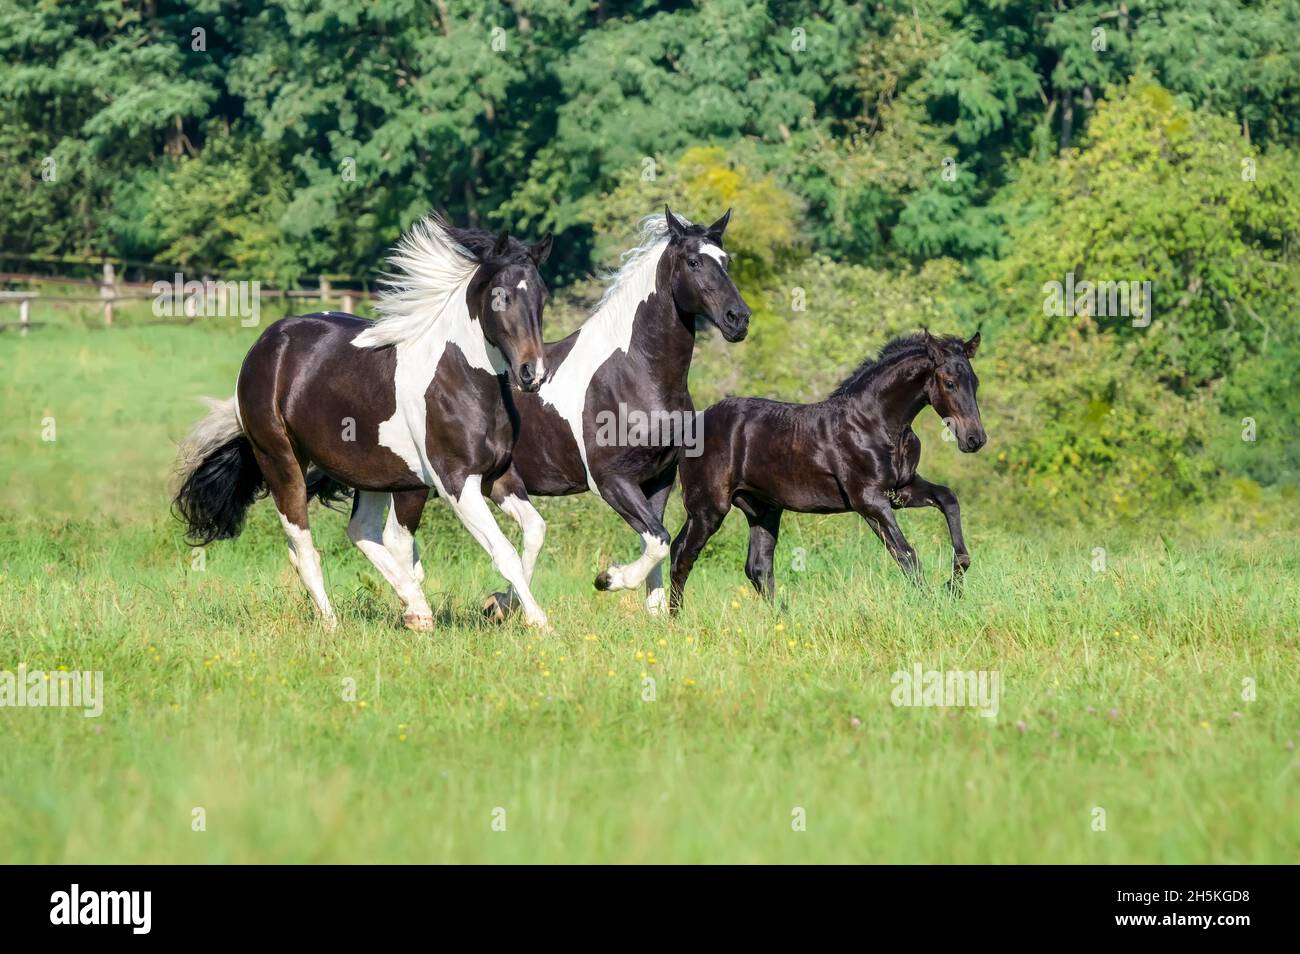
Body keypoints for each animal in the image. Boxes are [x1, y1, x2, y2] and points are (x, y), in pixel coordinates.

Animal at [173, 215, 555, 630]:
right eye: (500, 296)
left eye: (542, 296)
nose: (532, 373)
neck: (460, 378)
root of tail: (266, 343)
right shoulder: (456, 482)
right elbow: (503, 551)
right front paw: (540, 622)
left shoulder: (498, 475)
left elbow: (534, 533)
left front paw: (501, 605)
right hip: (281, 461)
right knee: (306, 548)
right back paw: (336, 624)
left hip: (375, 472)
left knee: (363, 531)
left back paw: (413, 609)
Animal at [385, 206, 752, 618]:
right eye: (693, 262)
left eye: (726, 261)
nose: (739, 319)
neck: (632, 372)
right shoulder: (611, 480)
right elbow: (657, 540)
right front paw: (608, 579)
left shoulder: (659, 477)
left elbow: (655, 542)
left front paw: (655, 612)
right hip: (418, 483)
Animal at [668, 330, 987, 613]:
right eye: (949, 382)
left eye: (975, 382)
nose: (975, 439)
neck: (874, 423)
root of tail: (691, 429)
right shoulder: (869, 500)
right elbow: (907, 554)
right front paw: (934, 605)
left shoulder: (902, 489)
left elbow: (948, 499)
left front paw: (953, 586)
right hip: (708, 508)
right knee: (682, 555)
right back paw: (674, 620)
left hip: (762, 509)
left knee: (757, 567)